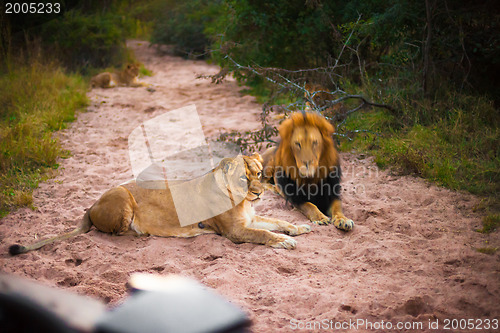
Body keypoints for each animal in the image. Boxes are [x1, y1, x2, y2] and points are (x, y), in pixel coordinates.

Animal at [9, 153, 310, 254]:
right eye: (242, 178)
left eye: (258, 174)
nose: (258, 194)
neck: (242, 202)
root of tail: (91, 205)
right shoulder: (234, 231)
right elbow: (263, 234)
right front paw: (285, 241)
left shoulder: (250, 218)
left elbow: (276, 221)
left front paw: (299, 229)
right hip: (123, 198)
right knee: (114, 232)